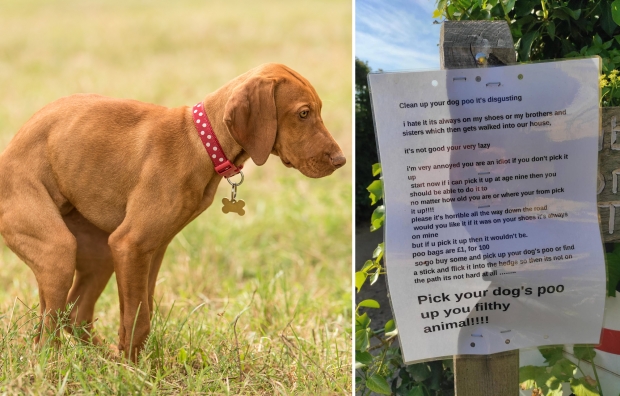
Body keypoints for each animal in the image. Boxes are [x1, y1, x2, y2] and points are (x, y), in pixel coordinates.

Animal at [0, 62, 346, 362]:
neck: (201, 142)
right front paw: (133, 373)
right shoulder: (130, 245)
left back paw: (103, 358)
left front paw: (134, 365)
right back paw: (56, 367)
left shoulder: (151, 249)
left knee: (73, 316)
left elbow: (144, 311)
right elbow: (137, 318)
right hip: (56, 248)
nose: (341, 161)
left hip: (98, 251)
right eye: (303, 113)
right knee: (47, 335)